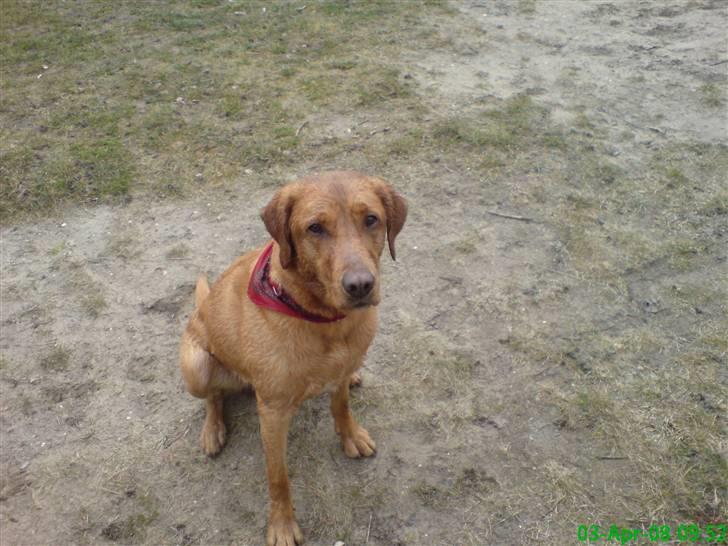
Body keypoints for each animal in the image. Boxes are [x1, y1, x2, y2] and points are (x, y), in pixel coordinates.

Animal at [176, 169, 404, 540]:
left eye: (371, 219)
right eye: (315, 228)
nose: (360, 286)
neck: (326, 322)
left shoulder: (342, 367)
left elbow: (341, 404)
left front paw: (350, 435)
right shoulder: (272, 412)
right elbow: (277, 476)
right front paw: (282, 524)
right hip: (196, 365)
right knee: (213, 397)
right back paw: (213, 429)